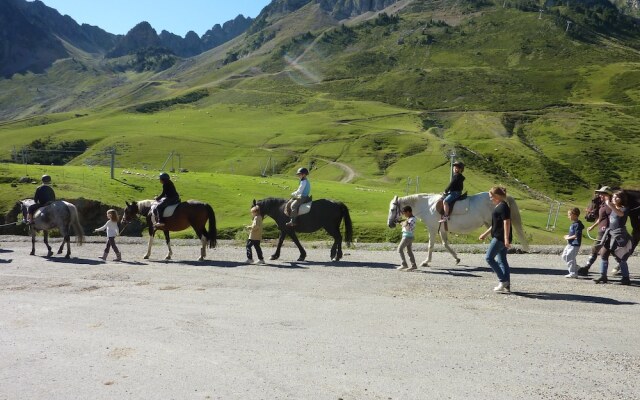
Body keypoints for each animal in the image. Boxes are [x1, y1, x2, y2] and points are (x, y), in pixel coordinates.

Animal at [390, 193, 528, 266]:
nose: (390, 224)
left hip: (491, 222)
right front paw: (457, 258)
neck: (428, 206)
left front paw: (426, 261)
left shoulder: (432, 229)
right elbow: (445, 244)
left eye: (392, 209)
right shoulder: (442, 229)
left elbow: (430, 246)